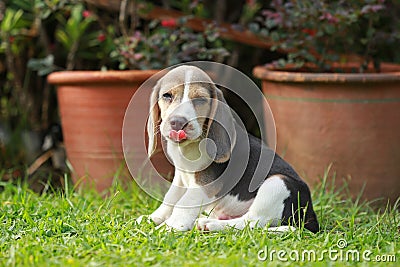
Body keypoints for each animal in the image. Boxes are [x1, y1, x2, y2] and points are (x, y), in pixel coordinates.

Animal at [143, 66, 318, 233]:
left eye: (200, 99)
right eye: (167, 96)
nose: (178, 122)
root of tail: (312, 216)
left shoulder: (205, 184)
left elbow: (184, 203)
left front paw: (170, 227)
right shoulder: (180, 175)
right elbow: (171, 198)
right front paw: (152, 218)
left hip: (279, 183)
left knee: (252, 222)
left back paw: (209, 224)